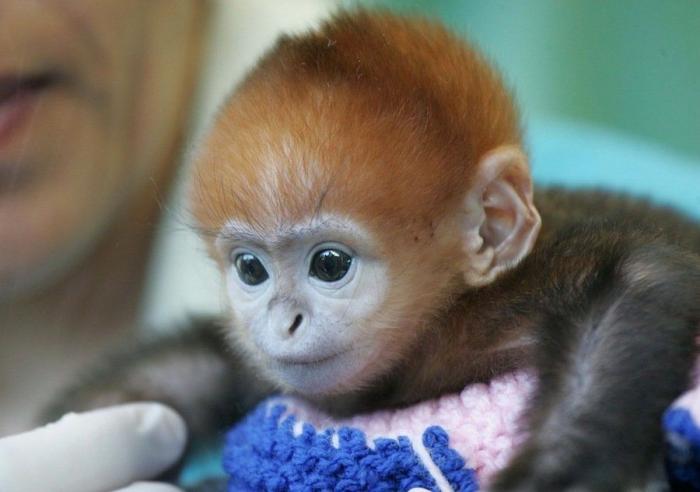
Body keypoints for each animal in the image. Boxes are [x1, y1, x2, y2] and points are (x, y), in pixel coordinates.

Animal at [46, 10, 700, 492]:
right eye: (251, 269)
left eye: (329, 264)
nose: (283, 323)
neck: (438, 327)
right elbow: (202, 364)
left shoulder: (516, 294)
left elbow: (642, 279)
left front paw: (557, 472)